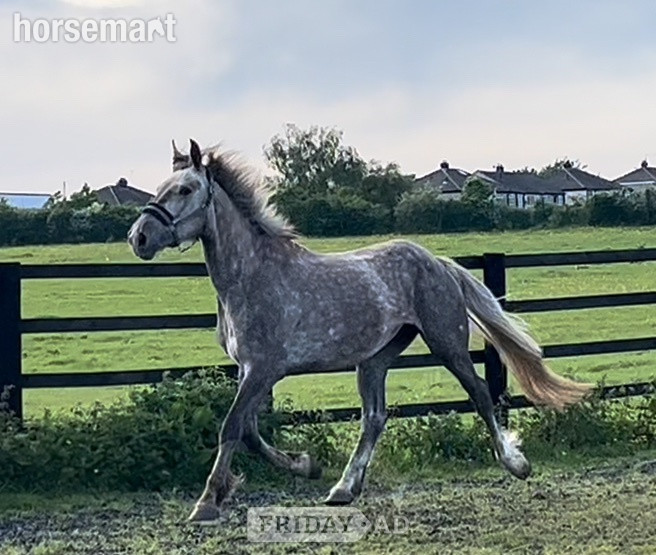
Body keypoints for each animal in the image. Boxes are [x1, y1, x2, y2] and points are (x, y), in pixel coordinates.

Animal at [127, 139, 591, 523]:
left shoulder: (263, 369)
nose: (139, 237)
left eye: (186, 189)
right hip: (374, 360)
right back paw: (343, 488)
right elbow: (251, 433)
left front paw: (206, 503)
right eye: (162, 185)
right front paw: (306, 465)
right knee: (374, 417)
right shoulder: (251, 370)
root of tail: (437, 262)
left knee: (478, 392)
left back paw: (515, 463)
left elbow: (231, 429)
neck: (252, 276)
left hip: (446, 343)